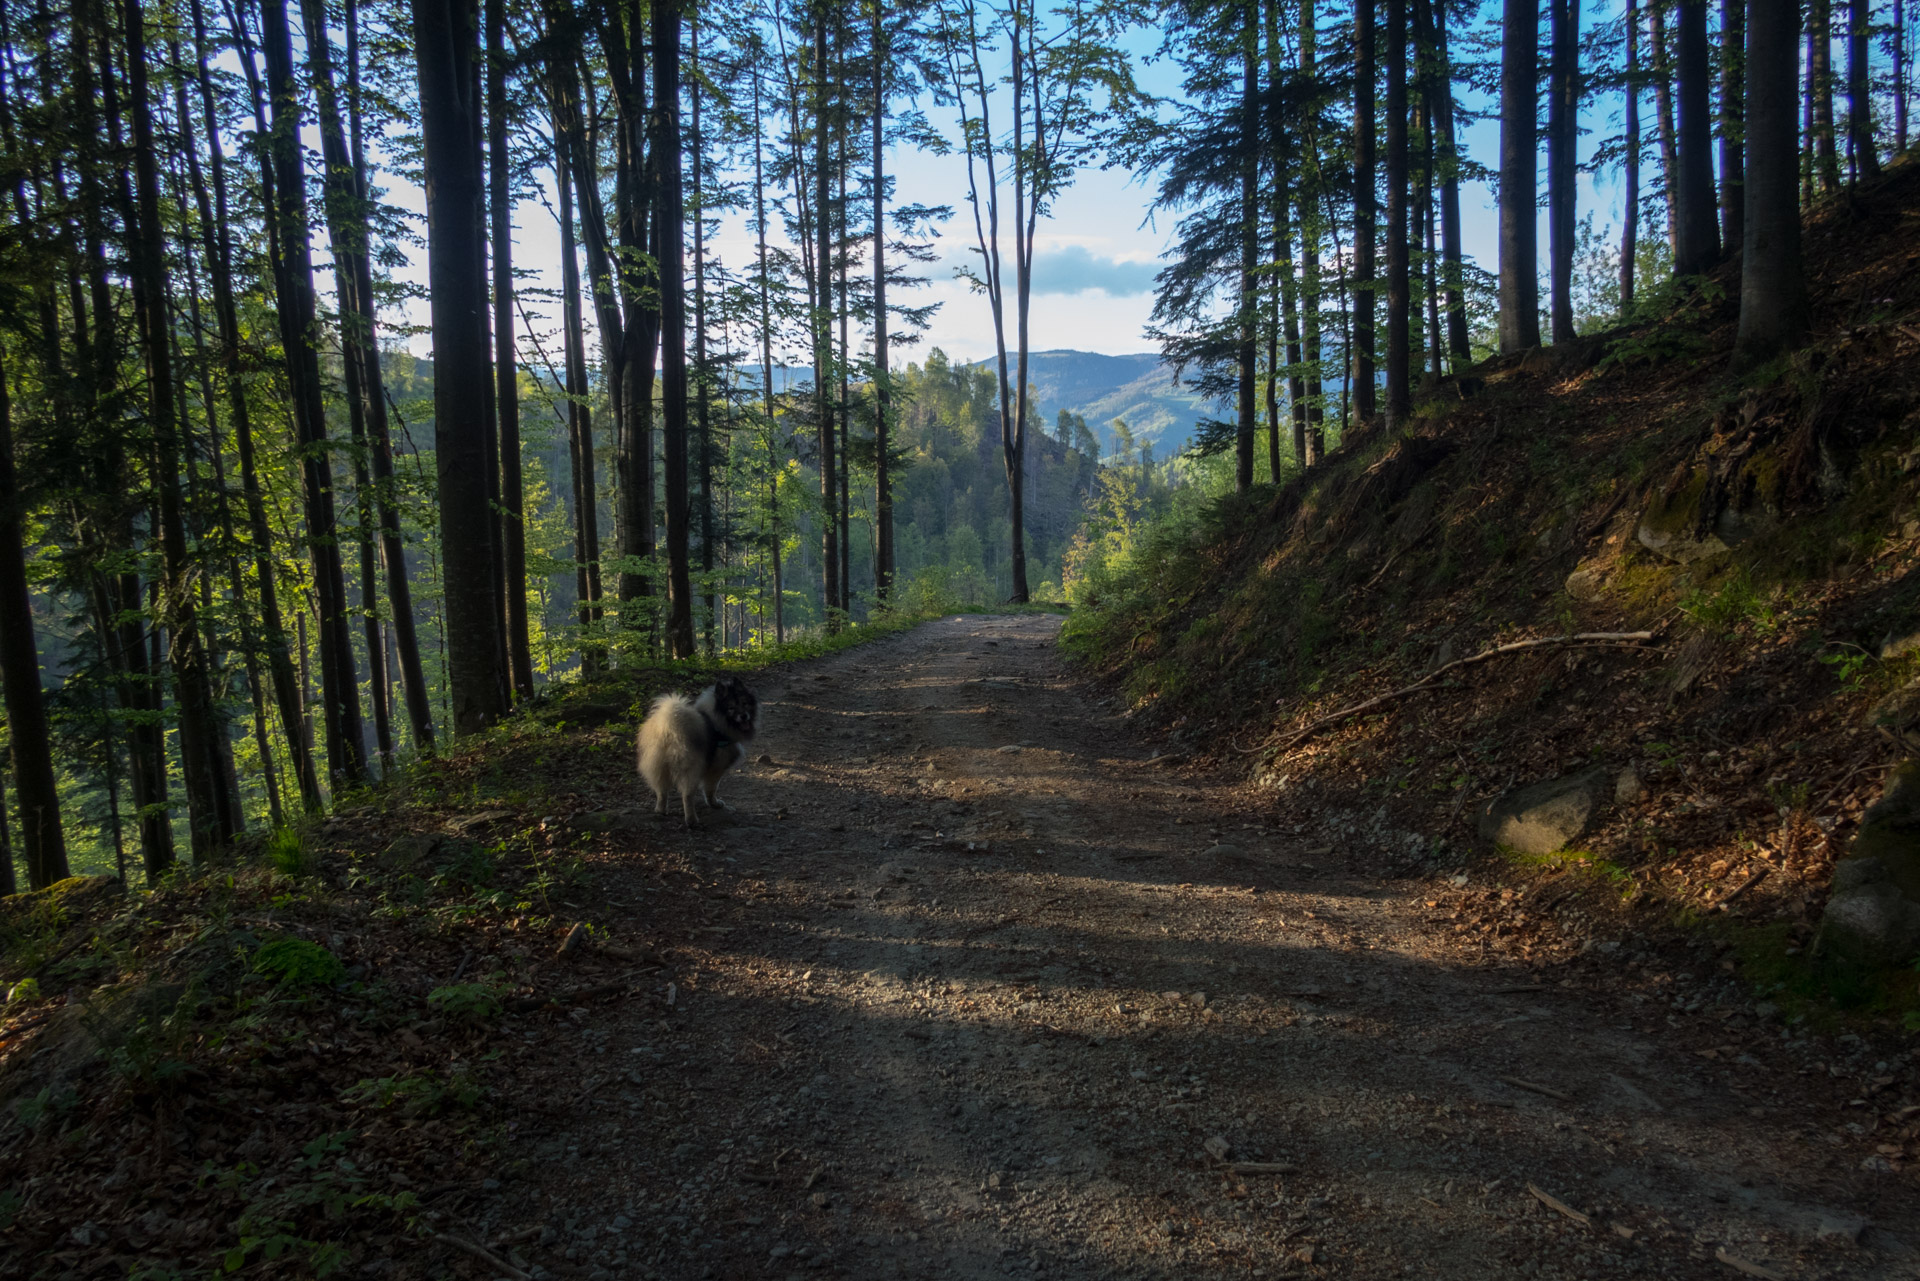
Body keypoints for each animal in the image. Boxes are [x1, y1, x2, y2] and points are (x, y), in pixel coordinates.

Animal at [637, 679, 756, 833]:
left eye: (744, 703)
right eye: (731, 707)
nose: (744, 716)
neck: (717, 720)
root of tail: (669, 728)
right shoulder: (716, 769)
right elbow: (711, 789)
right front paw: (714, 803)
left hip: (659, 766)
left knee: (662, 791)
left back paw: (660, 810)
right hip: (691, 768)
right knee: (687, 795)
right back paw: (691, 820)